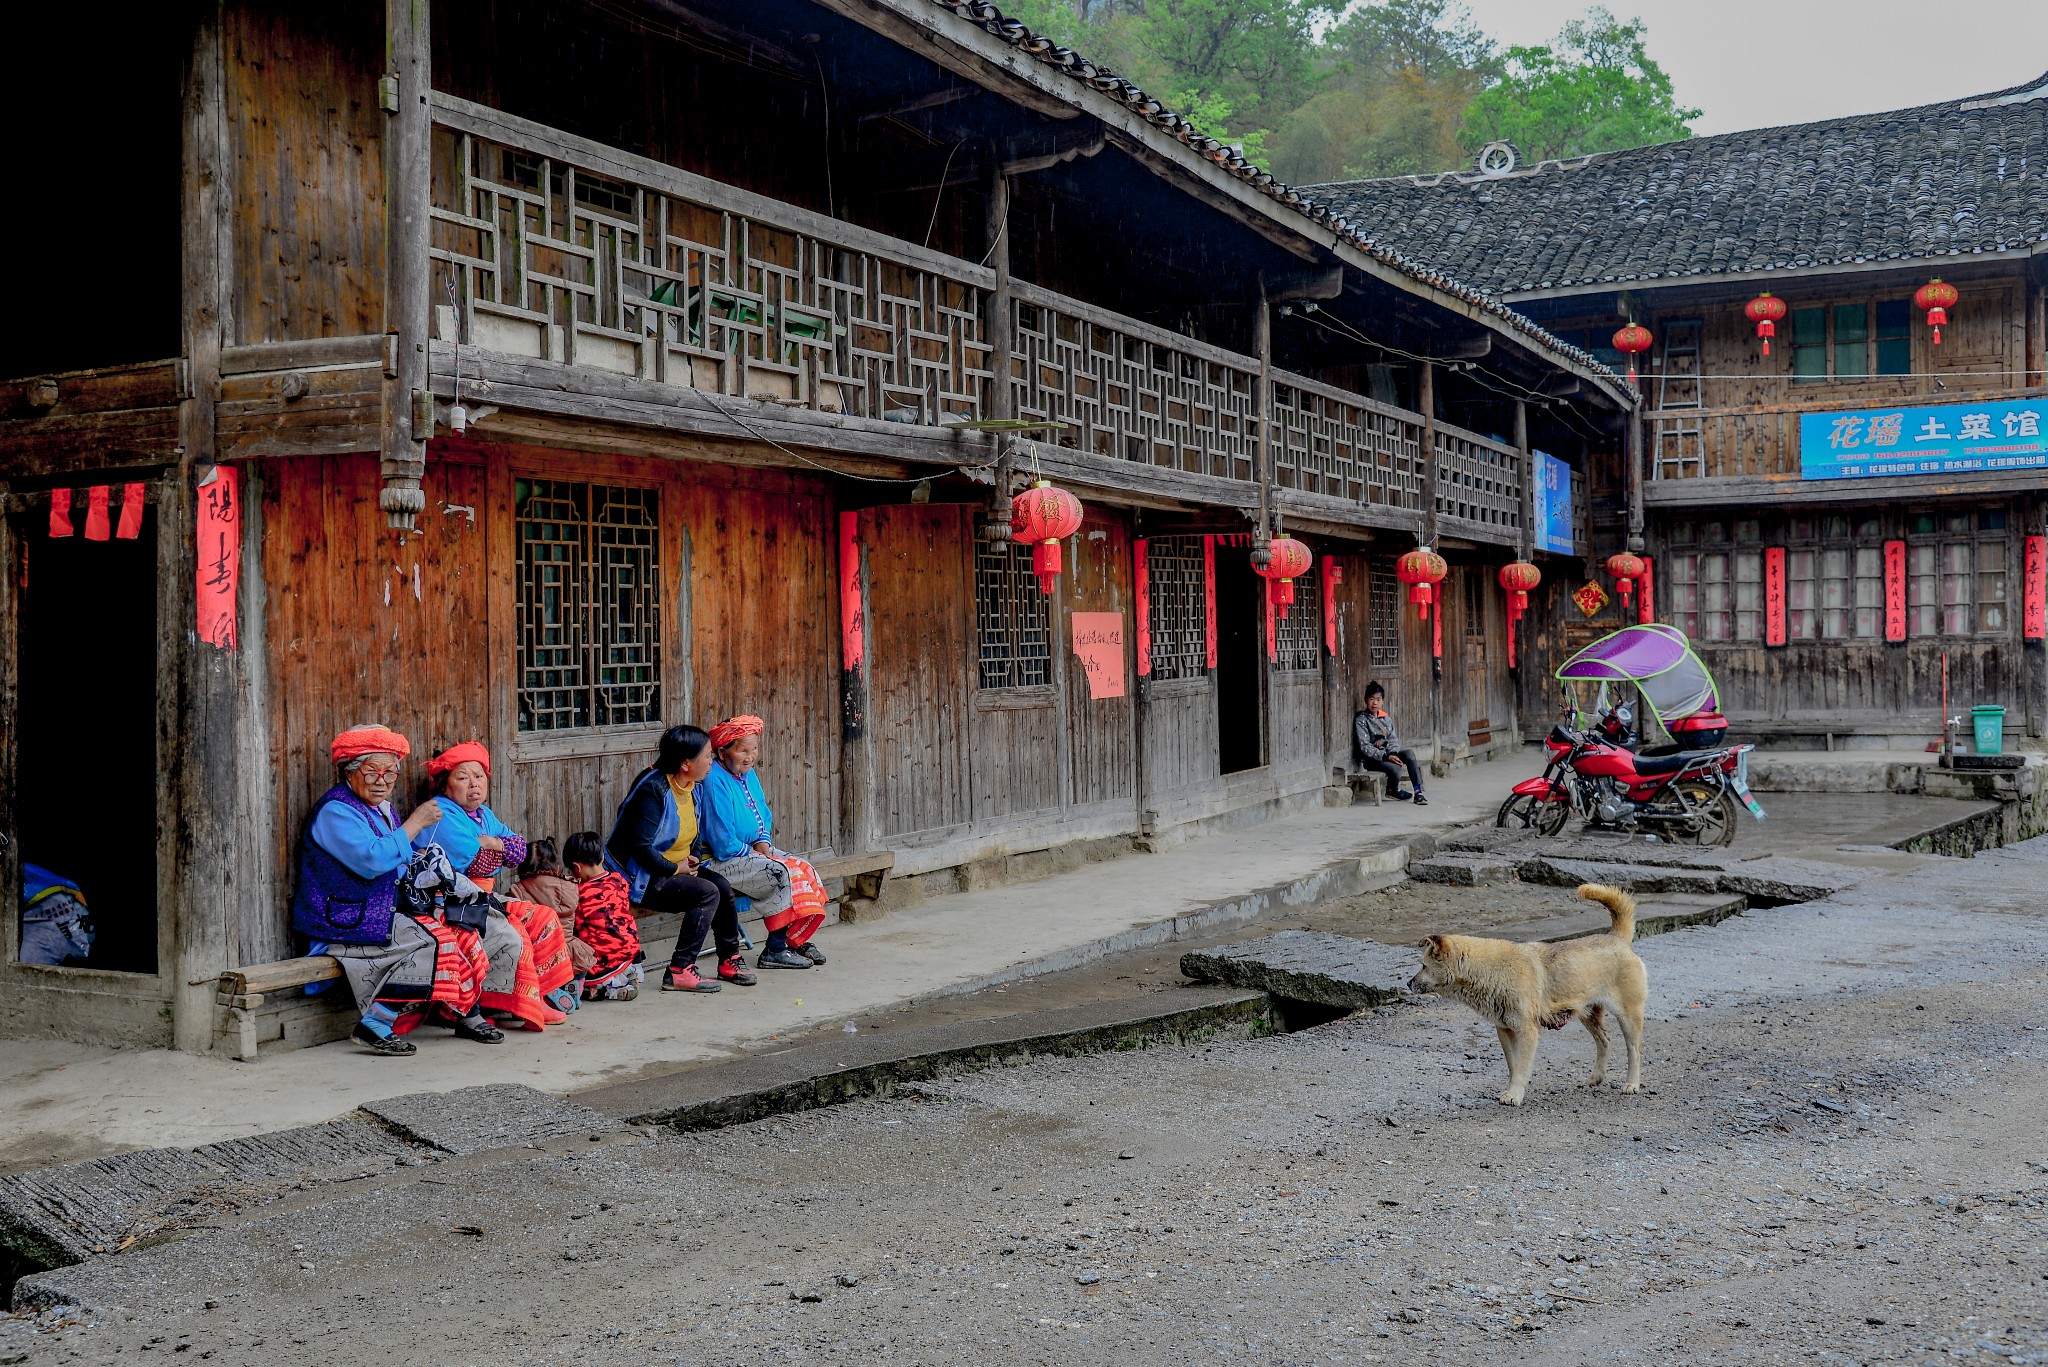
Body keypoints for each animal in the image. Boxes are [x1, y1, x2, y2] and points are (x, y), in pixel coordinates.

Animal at [1409, 881, 1646, 1106]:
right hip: (1588, 1014)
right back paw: (1597, 1077)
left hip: (1628, 1016)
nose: (1408, 983)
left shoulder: (1527, 1032)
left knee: (1634, 1050)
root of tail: (1617, 938)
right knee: (1605, 1041)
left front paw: (1514, 1095)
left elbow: (1521, 1068)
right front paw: (1514, 1091)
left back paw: (1632, 1084)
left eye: (1423, 966)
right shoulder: (1505, 1030)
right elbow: (1514, 1066)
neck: (1492, 969)